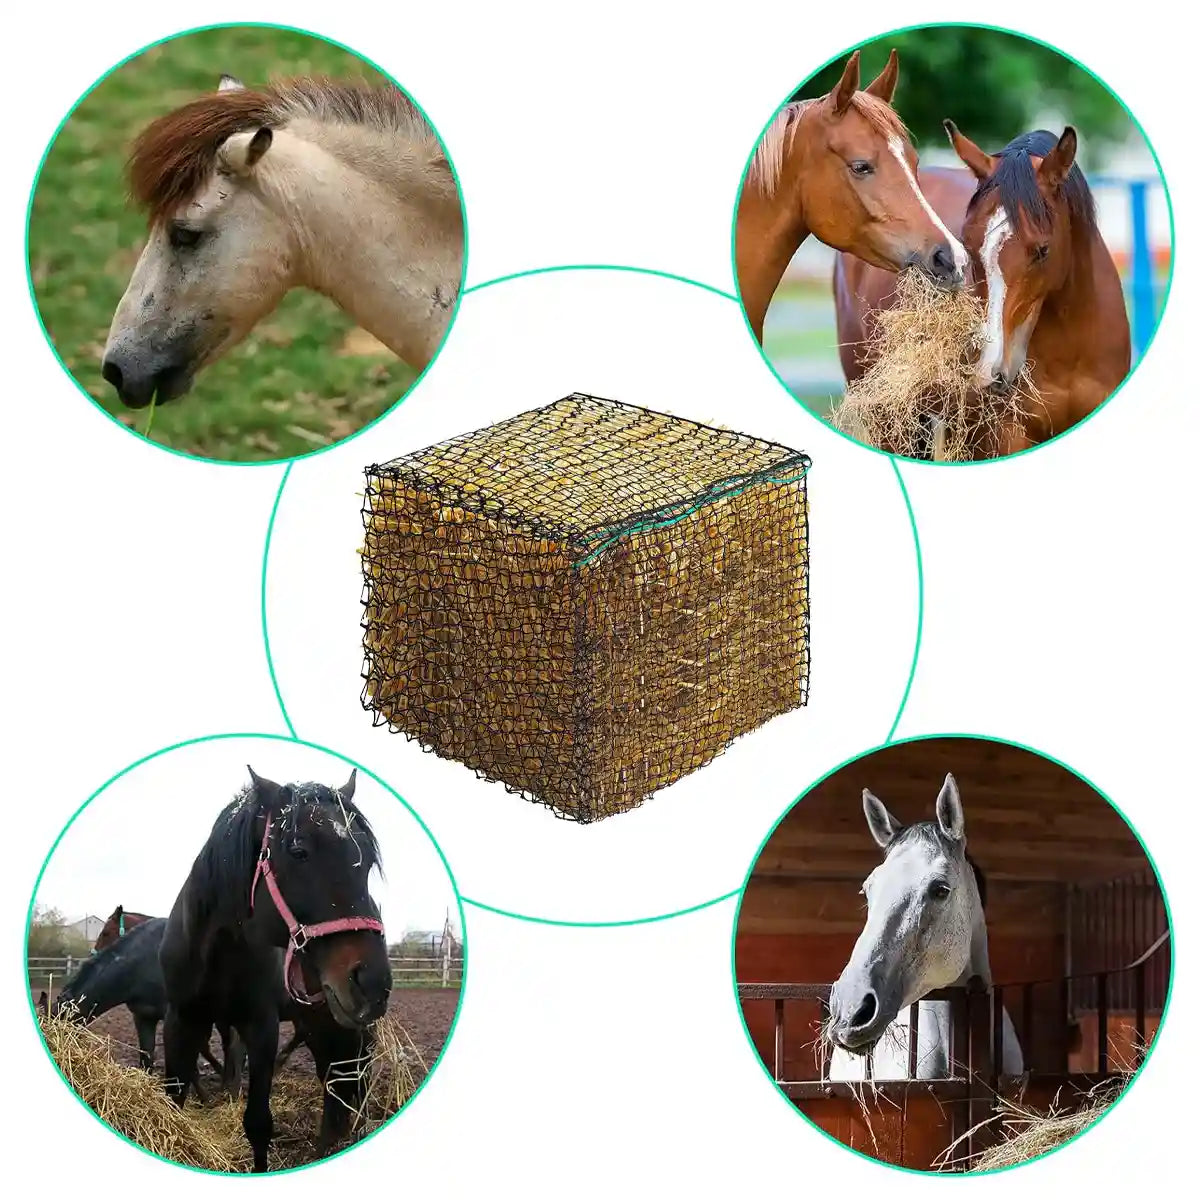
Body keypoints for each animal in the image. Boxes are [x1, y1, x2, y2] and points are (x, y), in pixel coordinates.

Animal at [159, 766, 392, 1172]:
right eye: (298, 852)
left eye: (364, 862)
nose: (373, 982)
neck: (219, 949)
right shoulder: (182, 1020)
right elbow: (174, 1099)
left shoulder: (261, 1027)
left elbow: (258, 1123)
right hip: (317, 1021)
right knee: (333, 1081)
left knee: (353, 1078)